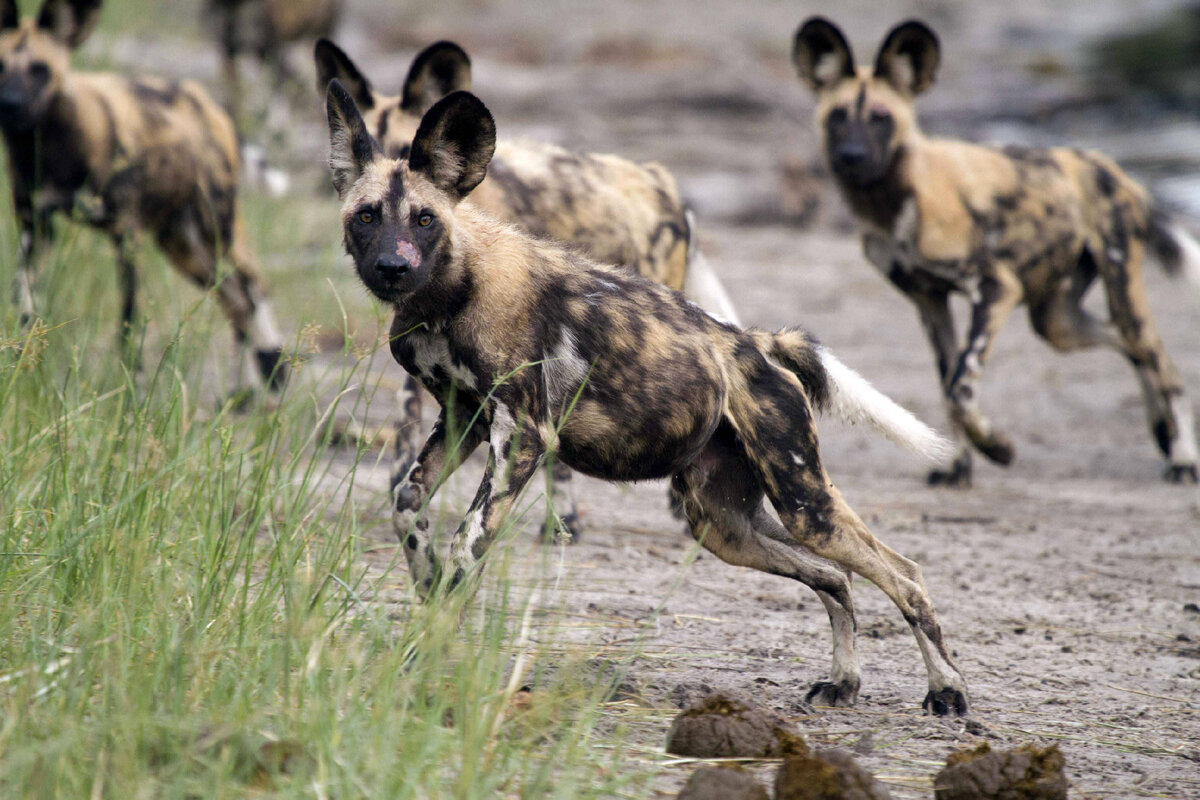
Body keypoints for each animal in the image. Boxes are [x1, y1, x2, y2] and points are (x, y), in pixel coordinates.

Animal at [0, 0, 285, 391]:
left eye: (39, 70)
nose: (8, 104)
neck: (48, 147)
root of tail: (206, 101)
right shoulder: (35, 229)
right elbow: (25, 306)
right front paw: (18, 372)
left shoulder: (126, 235)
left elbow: (129, 324)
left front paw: (132, 387)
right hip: (182, 246)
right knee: (237, 303)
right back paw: (243, 393)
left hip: (216, 230)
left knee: (254, 287)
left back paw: (270, 376)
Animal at [324, 81, 969, 714]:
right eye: (366, 216)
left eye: (425, 219)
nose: (392, 267)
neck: (449, 293)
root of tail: (759, 343)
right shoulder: (464, 420)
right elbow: (407, 505)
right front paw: (428, 589)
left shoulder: (522, 438)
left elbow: (464, 548)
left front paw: (420, 651)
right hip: (726, 525)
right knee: (836, 578)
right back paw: (844, 681)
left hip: (803, 504)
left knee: (904, 573)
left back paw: (947, 689)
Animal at [792, 15, 1195, 489]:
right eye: (837, 116)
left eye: (881, 118)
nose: (851, 156)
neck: (894, 201)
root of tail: (1111, 167)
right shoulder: (929, 302)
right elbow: (947, 385)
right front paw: (956, 466)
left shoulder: (995, 289)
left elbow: (960, 387)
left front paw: (996, 448)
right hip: (1056, 321)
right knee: (1131, 350)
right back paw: (1162, 431)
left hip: (1117, 293)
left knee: (1162, 363)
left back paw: (1183, 458)